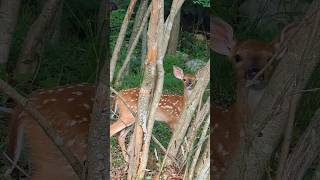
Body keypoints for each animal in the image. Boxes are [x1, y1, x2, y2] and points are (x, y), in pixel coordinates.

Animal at [6, 65, 198, 179]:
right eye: (184, 79)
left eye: (195, 80)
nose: (190, 84)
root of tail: (27, 102)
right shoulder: (173, 122)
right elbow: (179, 141)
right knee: (114, 132)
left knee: (121, 135)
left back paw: (127, 161)